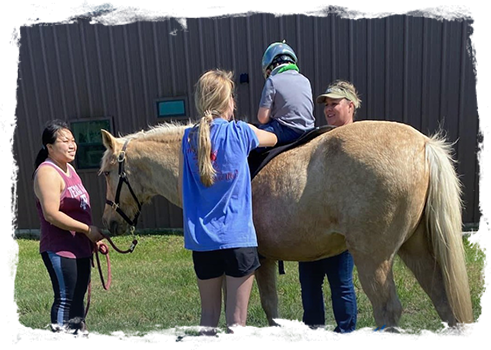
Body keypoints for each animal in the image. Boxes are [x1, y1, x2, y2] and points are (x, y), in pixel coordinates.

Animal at [101, 120, 476, 350]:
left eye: (106, 172)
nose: (108, 224)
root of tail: (423, 145)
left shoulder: (255, 261)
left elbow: (264, 305)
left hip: (374, 259)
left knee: (389, 311)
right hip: (417, 250)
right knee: (446, 302)